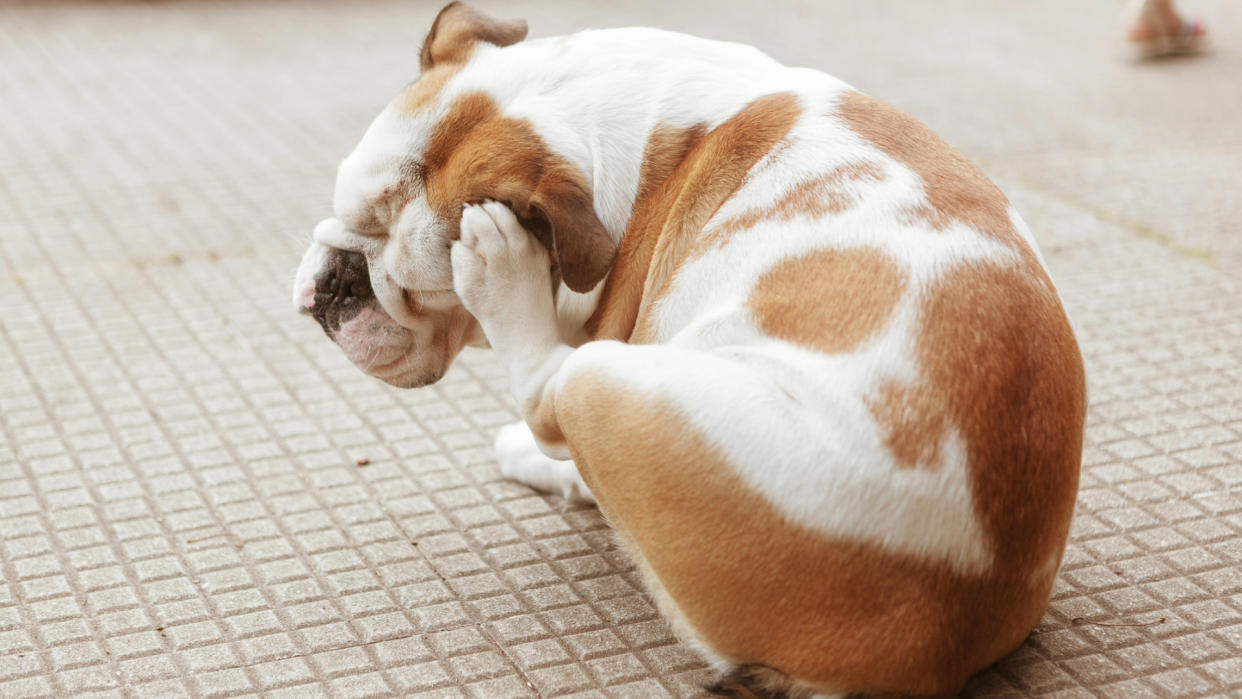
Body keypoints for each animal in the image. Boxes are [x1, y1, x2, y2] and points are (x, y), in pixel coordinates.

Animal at [293, 4, 1087, 695]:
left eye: (417, 289)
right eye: (339, 208)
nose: (338, 282)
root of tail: (948, 620)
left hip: (611, 382)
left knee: (550, 392)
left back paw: (504, 278)